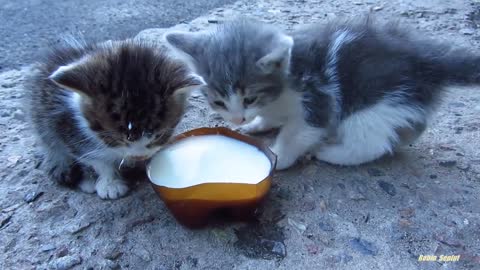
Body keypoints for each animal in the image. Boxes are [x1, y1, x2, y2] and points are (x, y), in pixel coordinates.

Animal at [26, 37, 204, 198]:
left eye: (160, 135)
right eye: (115, 137)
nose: (139, 156)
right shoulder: (67, 126)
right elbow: (95, 158)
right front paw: (110, 183)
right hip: (42, 119)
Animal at [166, 17, 480, 169]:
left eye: (249, 98)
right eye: (218, 101)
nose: (238, 119)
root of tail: (425, 59)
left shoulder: (318, 101)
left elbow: (296, 134)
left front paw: (278, 158)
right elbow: (272, 118)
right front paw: (258, 125)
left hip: (369, 103)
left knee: (371, 142)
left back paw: (332, 154)